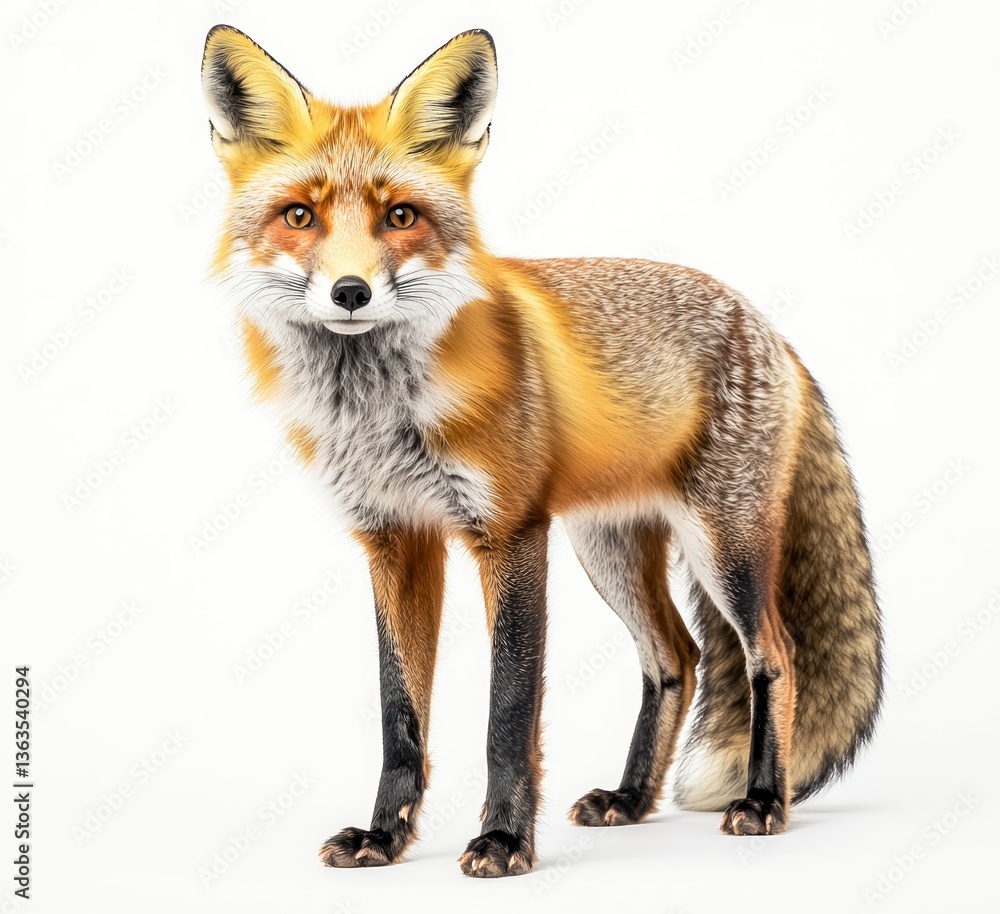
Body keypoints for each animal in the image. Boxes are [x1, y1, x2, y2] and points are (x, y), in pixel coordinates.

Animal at [201, 26, 883, 877]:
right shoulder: (395, 539)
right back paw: (631, 798)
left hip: (724, 542)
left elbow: (509, 709)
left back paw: (763, 801)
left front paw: (502, 841)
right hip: (608, 547)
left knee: (775, 655)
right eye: (298, 215)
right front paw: (385, 838)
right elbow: (401, 714)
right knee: (677, 658)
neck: (381, 412)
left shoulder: (511, 533)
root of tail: (769, 327)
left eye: (401, 215)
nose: (350, 291)